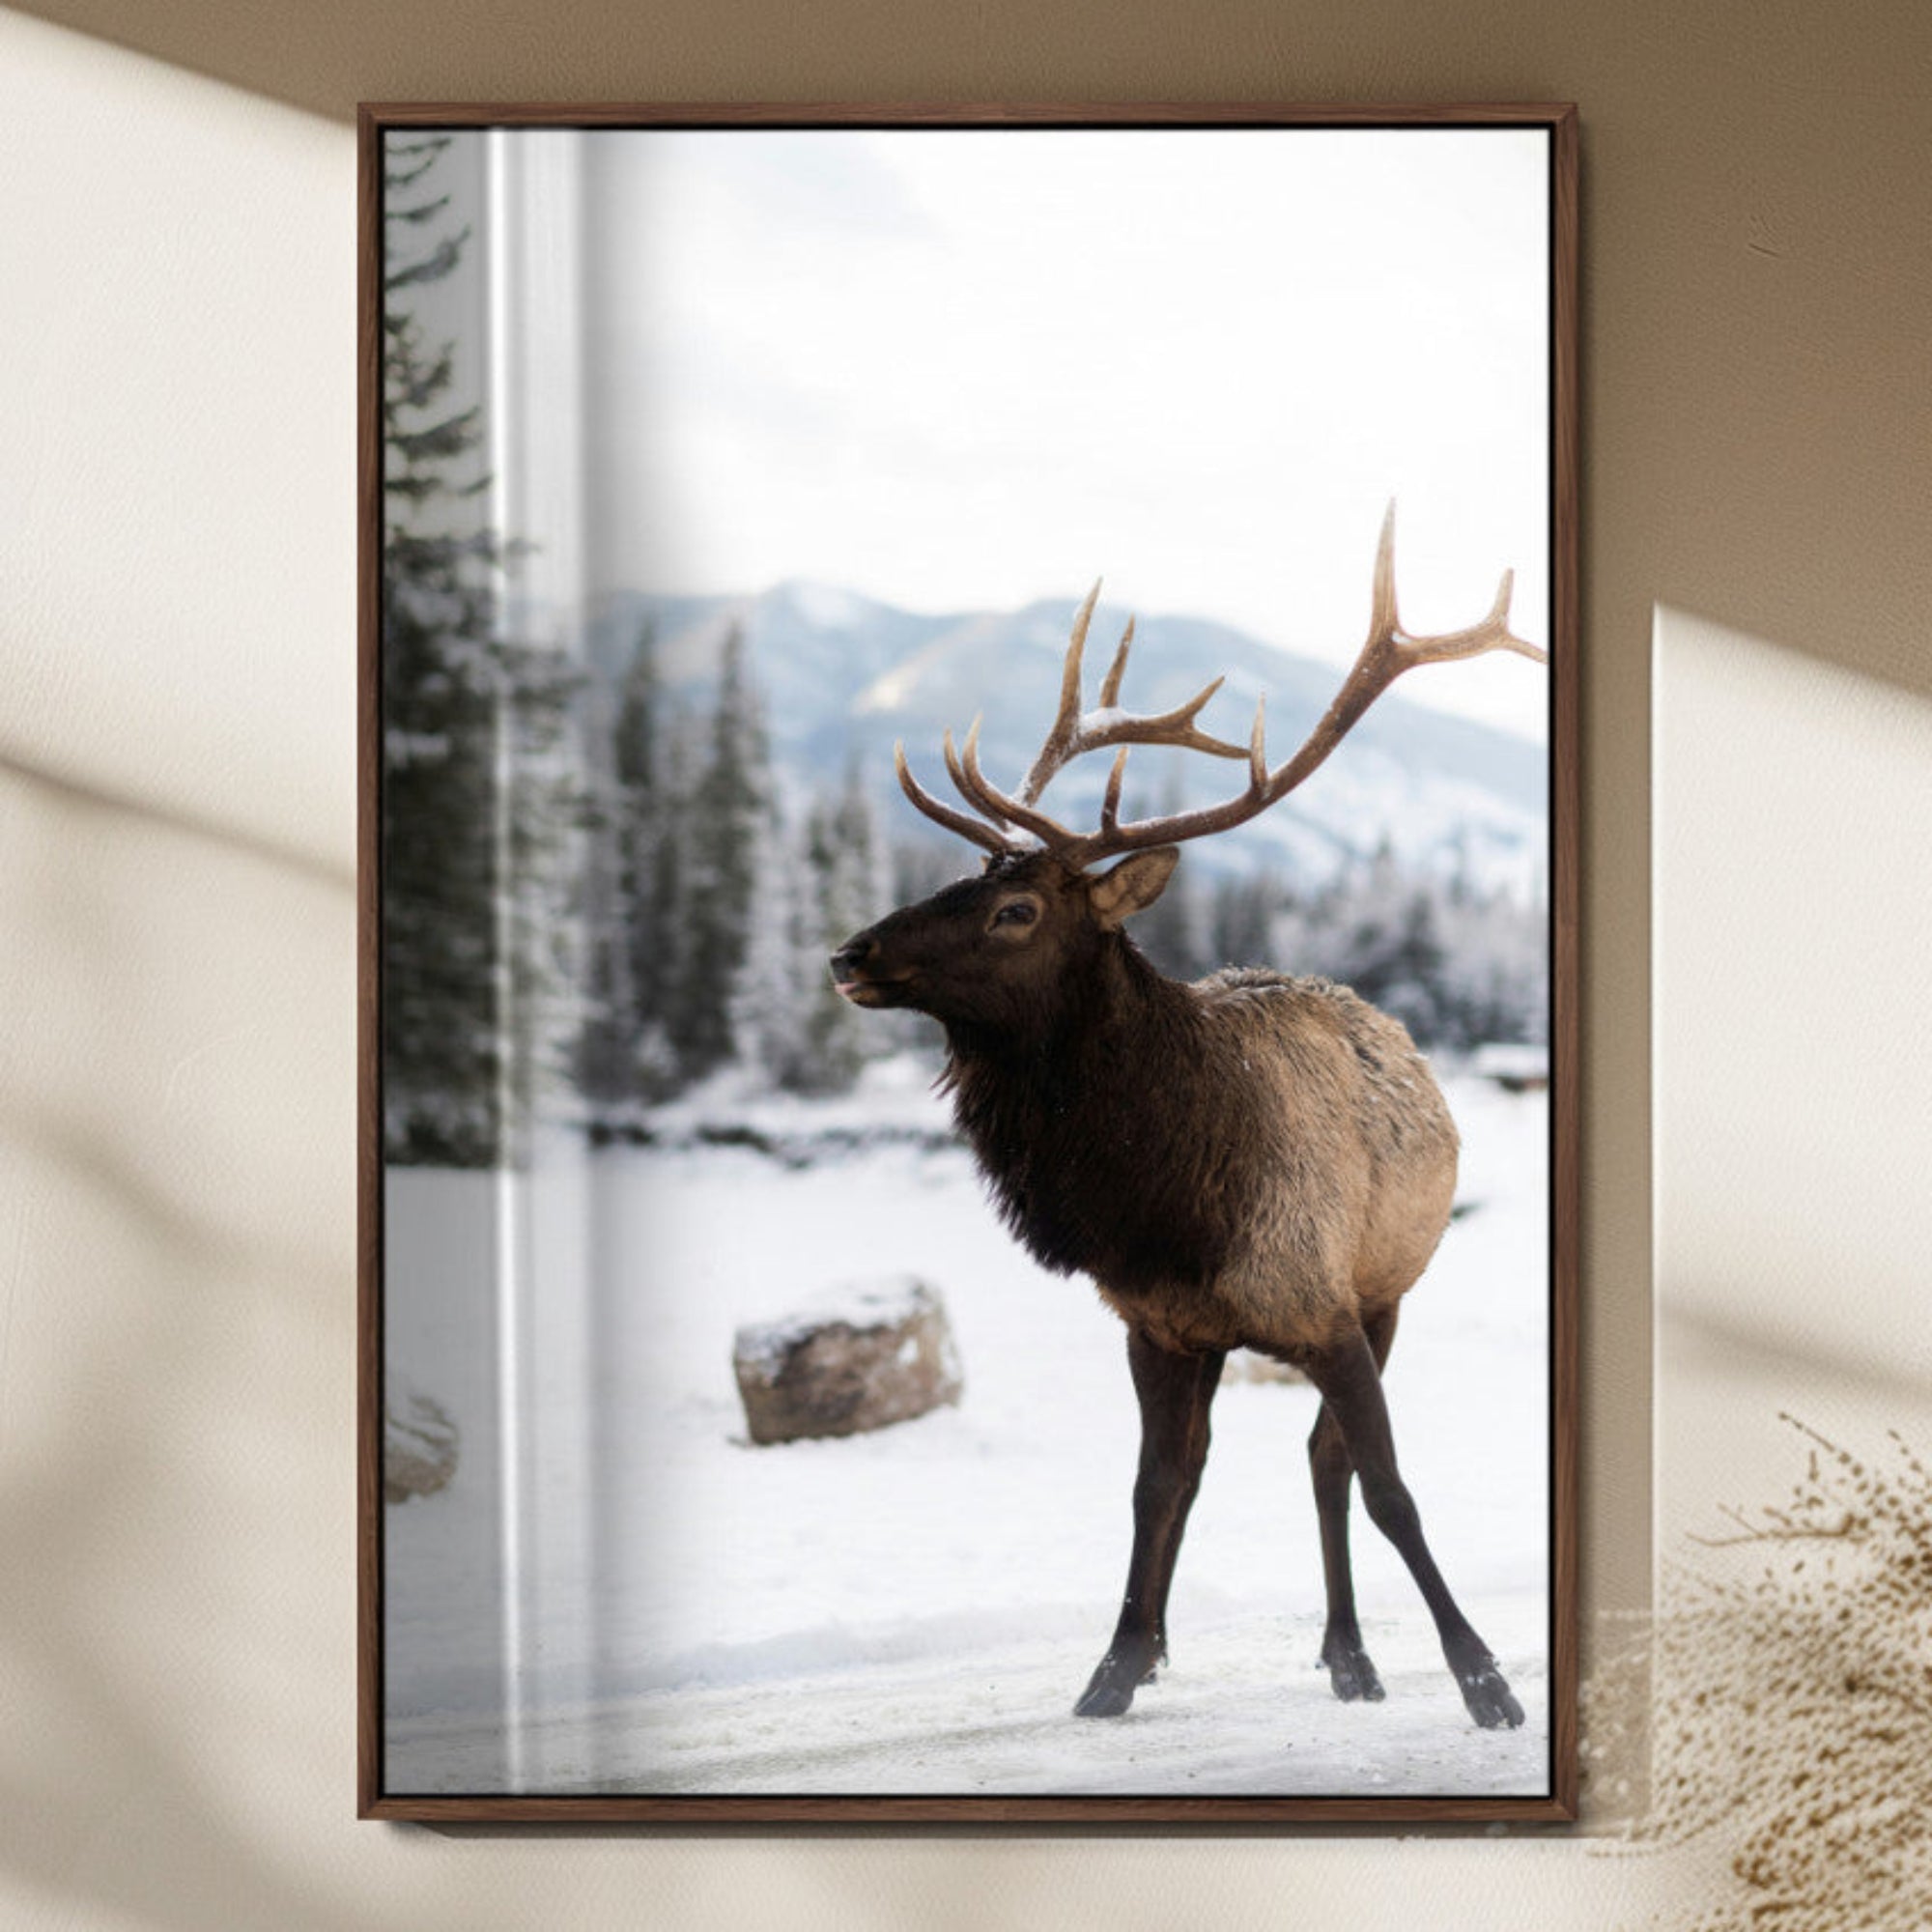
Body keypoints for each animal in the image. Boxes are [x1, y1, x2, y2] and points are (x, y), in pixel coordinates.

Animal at [828, 508, 1546, 1731]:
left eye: (1015, 907)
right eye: (963, 875)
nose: (850, 950)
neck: (1168, 1201)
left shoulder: (1327, 1304)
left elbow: (1389, 1484)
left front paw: (1483, 1676)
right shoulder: (1155, 1323)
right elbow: (1154, 1482)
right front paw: (1114, 1664)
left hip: (1384, 1289)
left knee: (1323, 1459)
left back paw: (1352, 1654)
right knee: (1233, 1462)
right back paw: (1284, 1650)